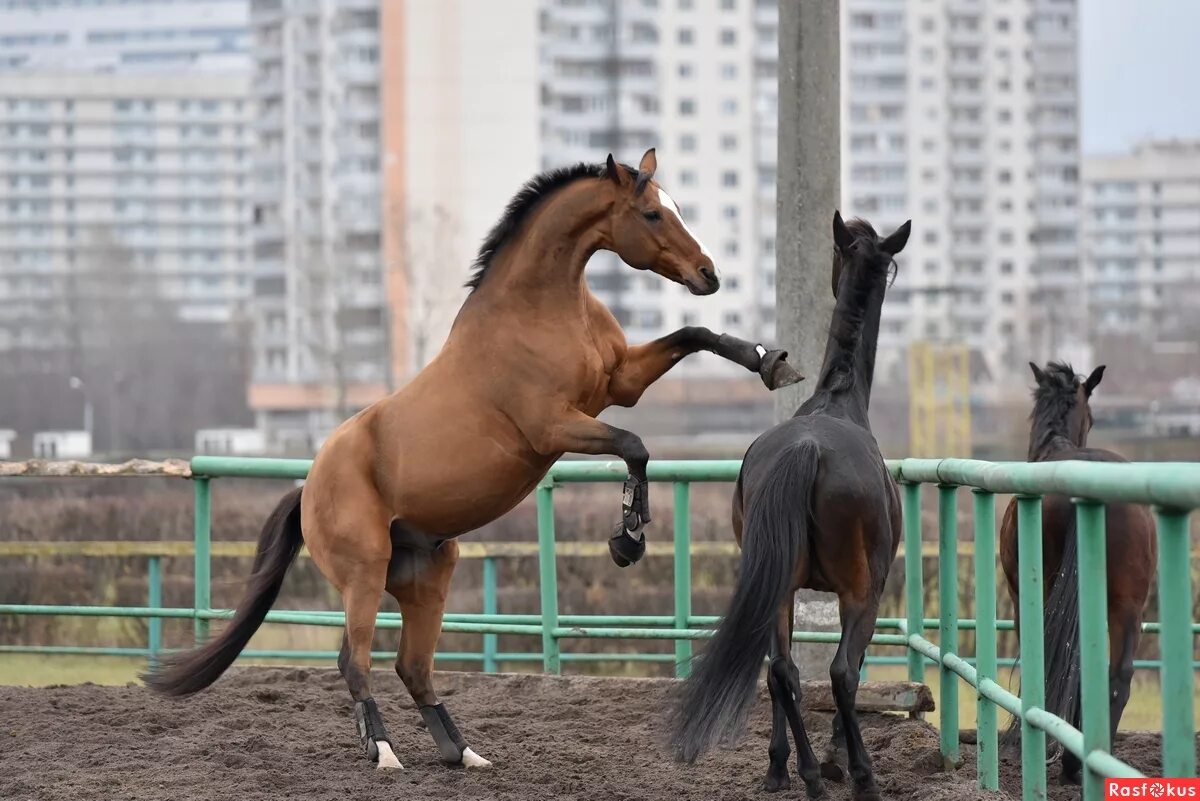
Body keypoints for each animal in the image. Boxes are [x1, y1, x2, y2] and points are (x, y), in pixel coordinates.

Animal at [150, 148, 806, 767]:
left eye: (676, 206)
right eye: (651, 214)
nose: (708, 274)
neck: (543, 310)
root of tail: (309, 485)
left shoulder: (622, 383)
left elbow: (694, 336)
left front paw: (772, 364)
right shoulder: (555, 426)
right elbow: (634, 447)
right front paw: (629, 539)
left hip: (428, 577)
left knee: (412, 668)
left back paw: (462, 752)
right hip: (364, 576)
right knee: (353, 661)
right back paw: (383, 752)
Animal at [672, 212, 912, 801]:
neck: (838, 399)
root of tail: (806, 450)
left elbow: (783, 674)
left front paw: (779, 766)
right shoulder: (868, 593)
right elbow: (851, 671)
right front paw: (839, 759)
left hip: (776, 584)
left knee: (780, 669)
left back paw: (800, 773)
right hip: (859, 592)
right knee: (841, 671)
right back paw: (858, 776)